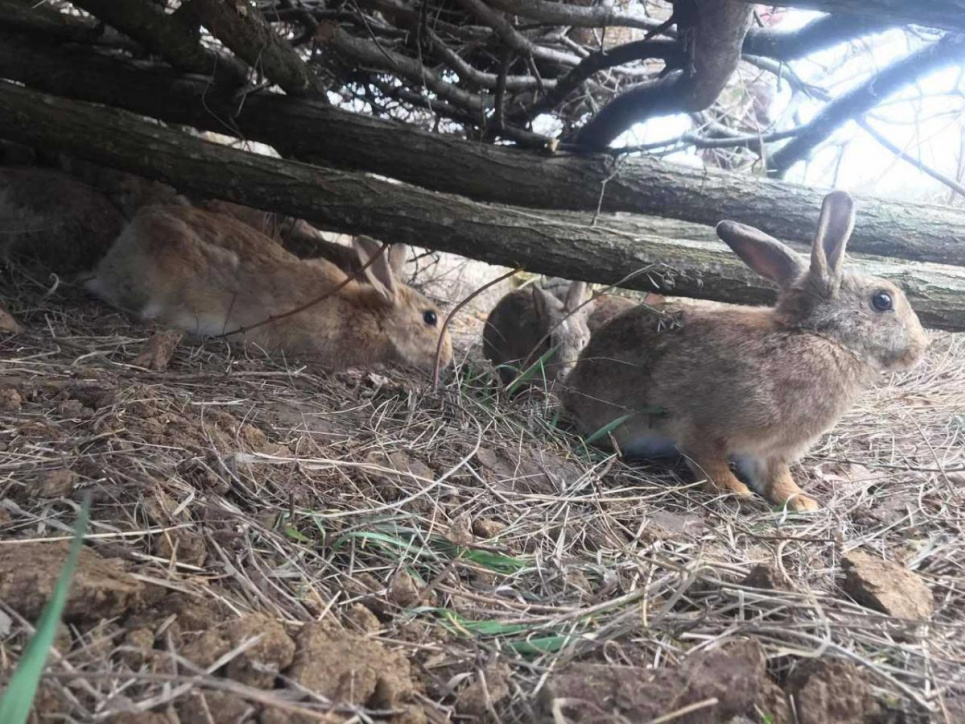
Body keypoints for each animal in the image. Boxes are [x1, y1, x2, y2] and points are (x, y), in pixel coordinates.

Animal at [564, 191, 928, 510]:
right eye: (883, 300)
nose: (919, 349)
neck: (821, 338)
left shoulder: (772, 451)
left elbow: (775, 477)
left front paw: (800, 501)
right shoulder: (700, 423)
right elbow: (707, 458)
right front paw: (734, 489)